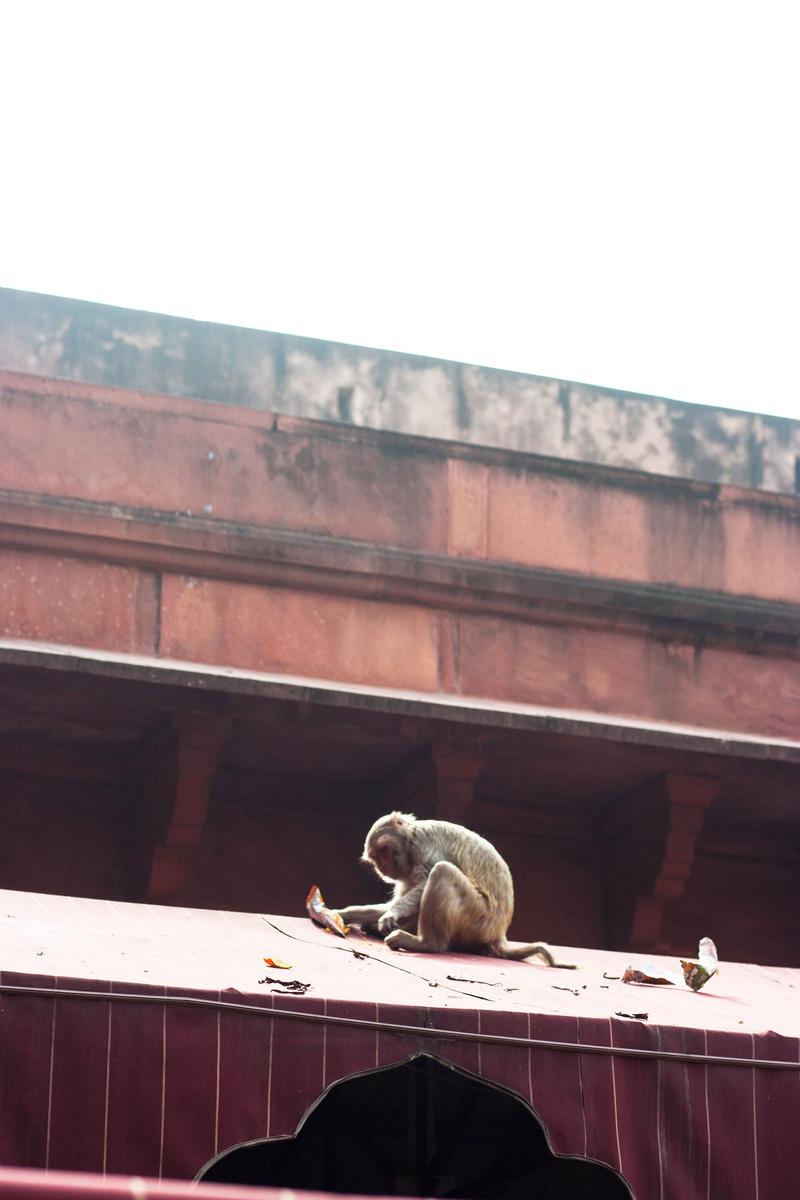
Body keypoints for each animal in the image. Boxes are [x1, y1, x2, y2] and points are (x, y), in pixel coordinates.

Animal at [333, 811, 575, 969]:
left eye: (384, 850)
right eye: (376, 856)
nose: (382, 865)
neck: (411, 841)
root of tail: (498, 933)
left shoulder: (423, 847)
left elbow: (424, 882)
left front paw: (392, 914)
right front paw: (342, 914)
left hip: (479, 920)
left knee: (443, 871)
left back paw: (427, 944)